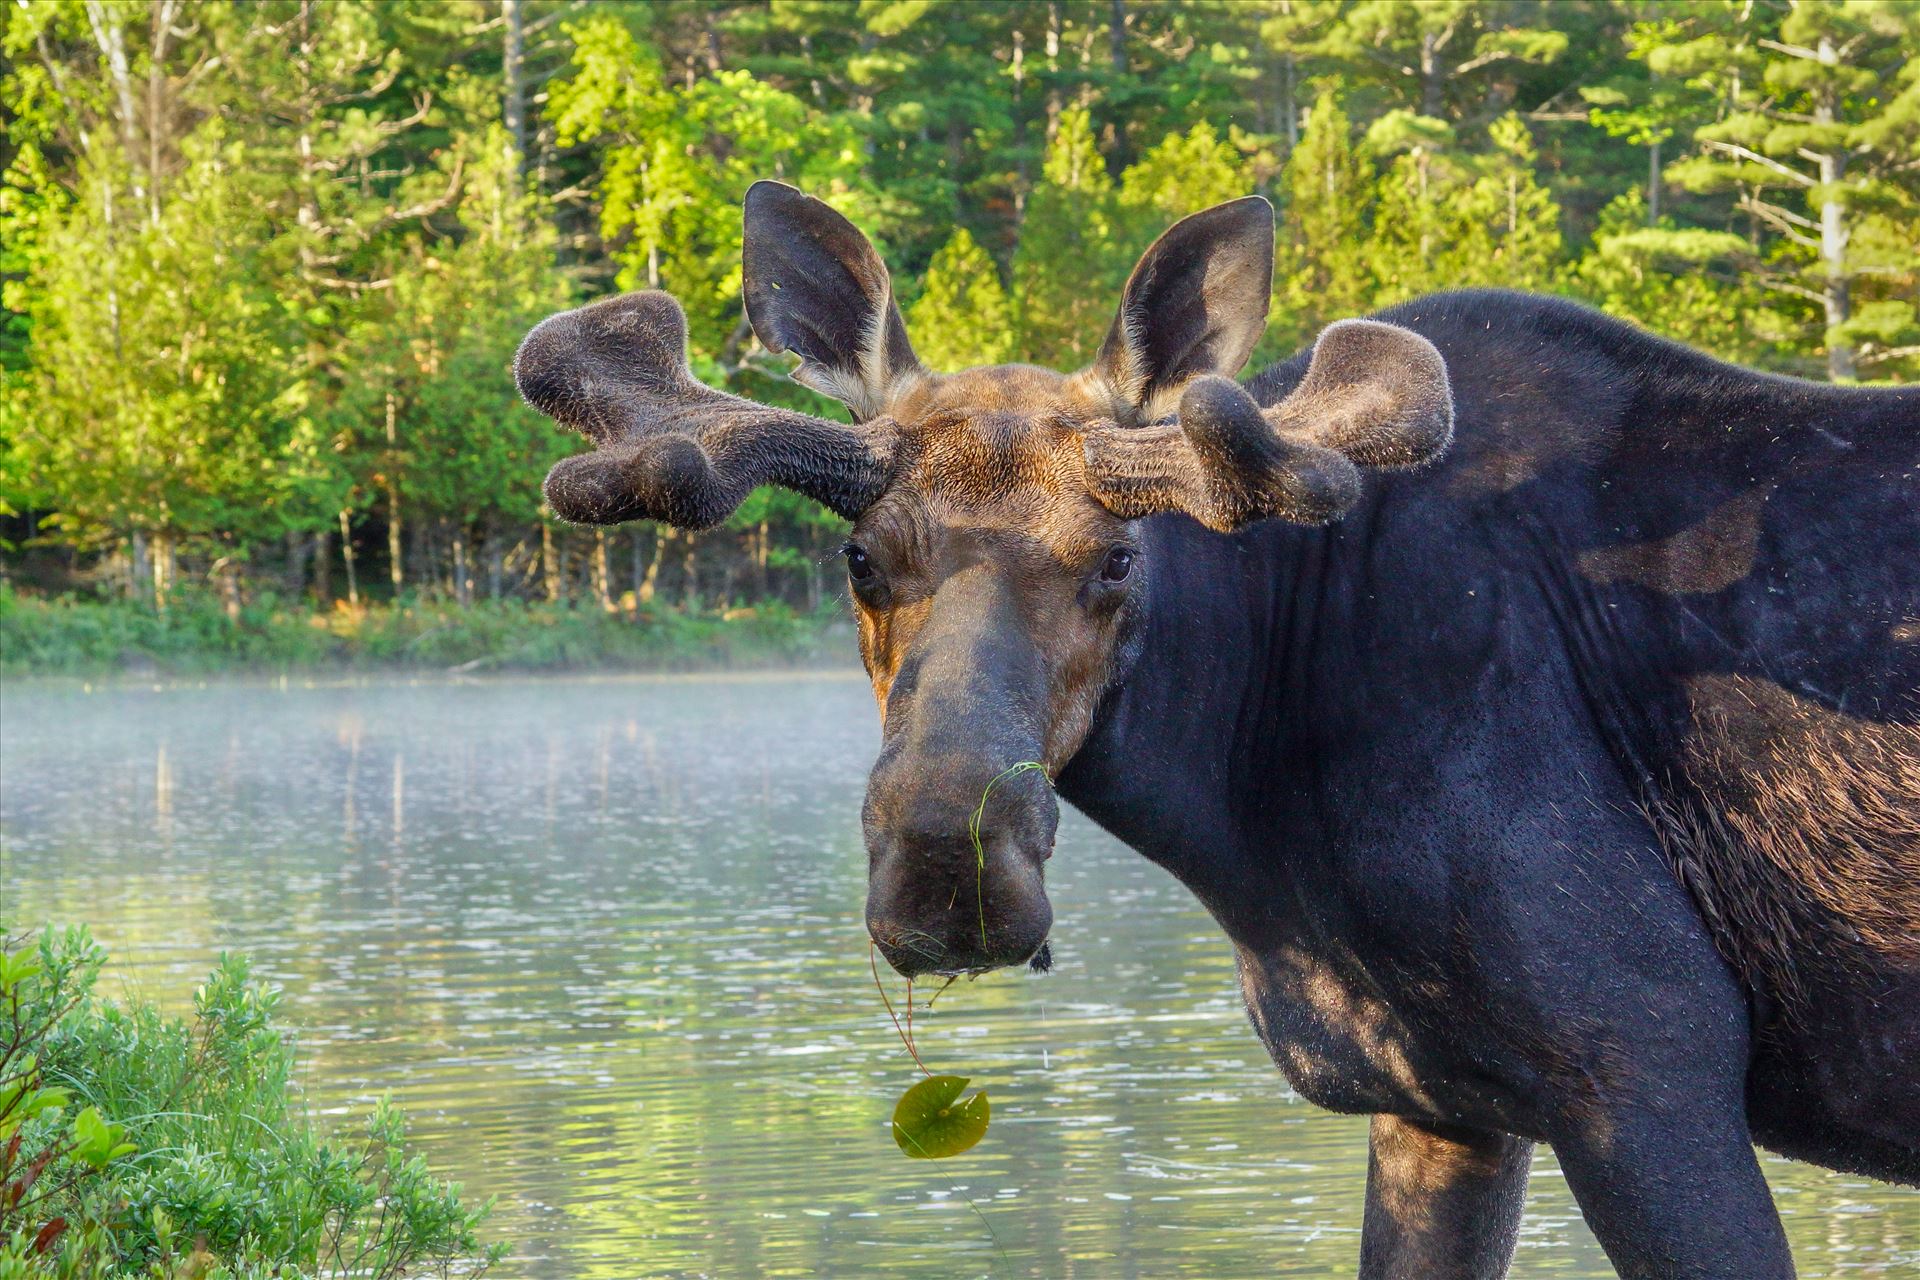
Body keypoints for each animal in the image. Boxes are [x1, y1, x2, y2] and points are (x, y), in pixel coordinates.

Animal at [514, 182, 1920, 1280]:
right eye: (860, 555)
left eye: (1118, 559)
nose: (948, 866)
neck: (1263, 827)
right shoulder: (1441, 1098)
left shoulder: (1647, 1053)